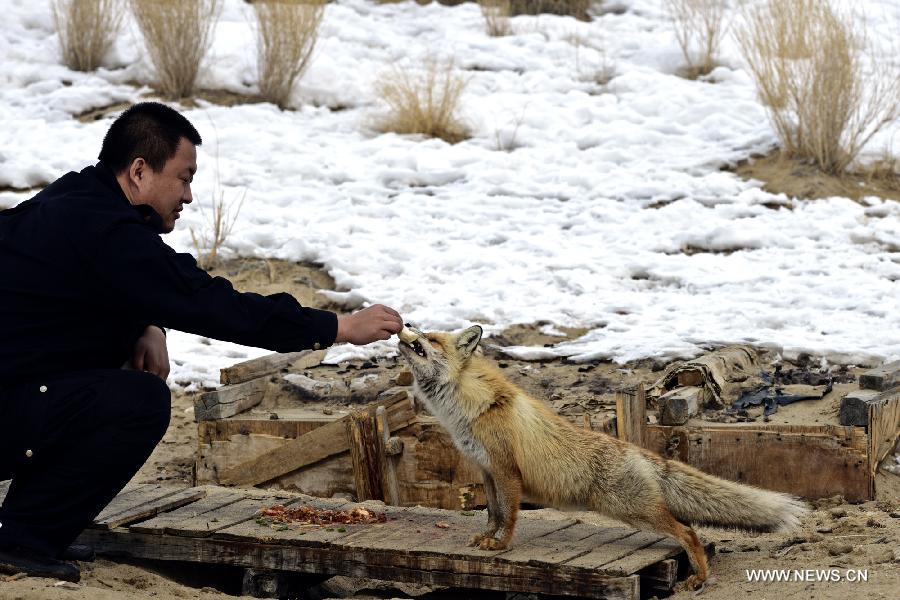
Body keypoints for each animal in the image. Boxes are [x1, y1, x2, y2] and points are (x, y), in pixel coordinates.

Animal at [398, 326, 812, 588]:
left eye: (430, 339)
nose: (405, 326)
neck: (470, 410)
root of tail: (638, 451)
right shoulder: (486, 470)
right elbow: (493, 514)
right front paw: (487, 538)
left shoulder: (507, 472)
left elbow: (510, 517)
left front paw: (501, 546)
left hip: (632, 509)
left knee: (689, 531)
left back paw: (699, 577)